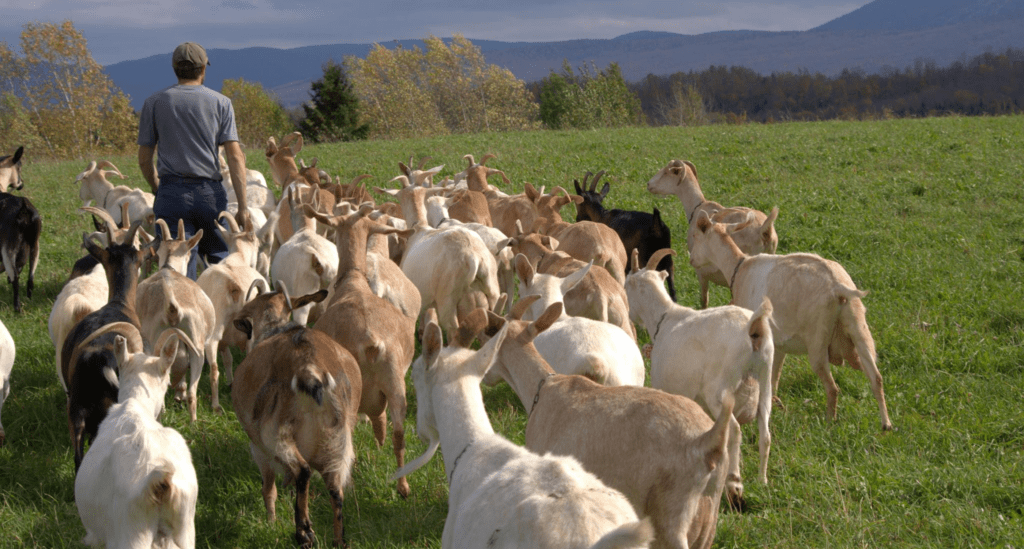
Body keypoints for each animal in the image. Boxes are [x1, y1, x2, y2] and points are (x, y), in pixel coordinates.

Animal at [232, 283, 361, 548]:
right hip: (338, 440)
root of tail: (309, 370)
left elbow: (268, 489)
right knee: (335, 488)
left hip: (275, 433)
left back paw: (303, 531)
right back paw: (337, 539)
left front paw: (271, 523)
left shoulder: (259, 448)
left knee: (303, 470)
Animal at [576, 170, 677, 301]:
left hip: (645, 259)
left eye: (579, 203)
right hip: (668, 260)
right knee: (672, 290)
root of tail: (657, 225)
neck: (601, 215)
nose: (577, 218)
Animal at [625, 248, 775, 507]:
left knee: (734, 430)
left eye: (626, 285)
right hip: (765, 378)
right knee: (765, 432)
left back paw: (734, 484)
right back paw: (762, 481)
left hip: (720, 390)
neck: (666, 318)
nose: (627, 312)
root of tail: (754, 328)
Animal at [647, 159, 778, 308]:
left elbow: (704, 300)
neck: (698, 207)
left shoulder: (701, 270)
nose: (649, 184)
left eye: (666, 172)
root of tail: (763, 229)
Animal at [689, 211, 893, 430]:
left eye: (697, 236)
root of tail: (839, 287)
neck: (739, 267)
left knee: (833, 388)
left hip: (818, 337)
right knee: (876, 377)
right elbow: (774, 376)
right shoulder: (778, 343)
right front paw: (774, 404)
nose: (691, 260)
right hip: (857, 324)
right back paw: (886, 425)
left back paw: (829, 422)